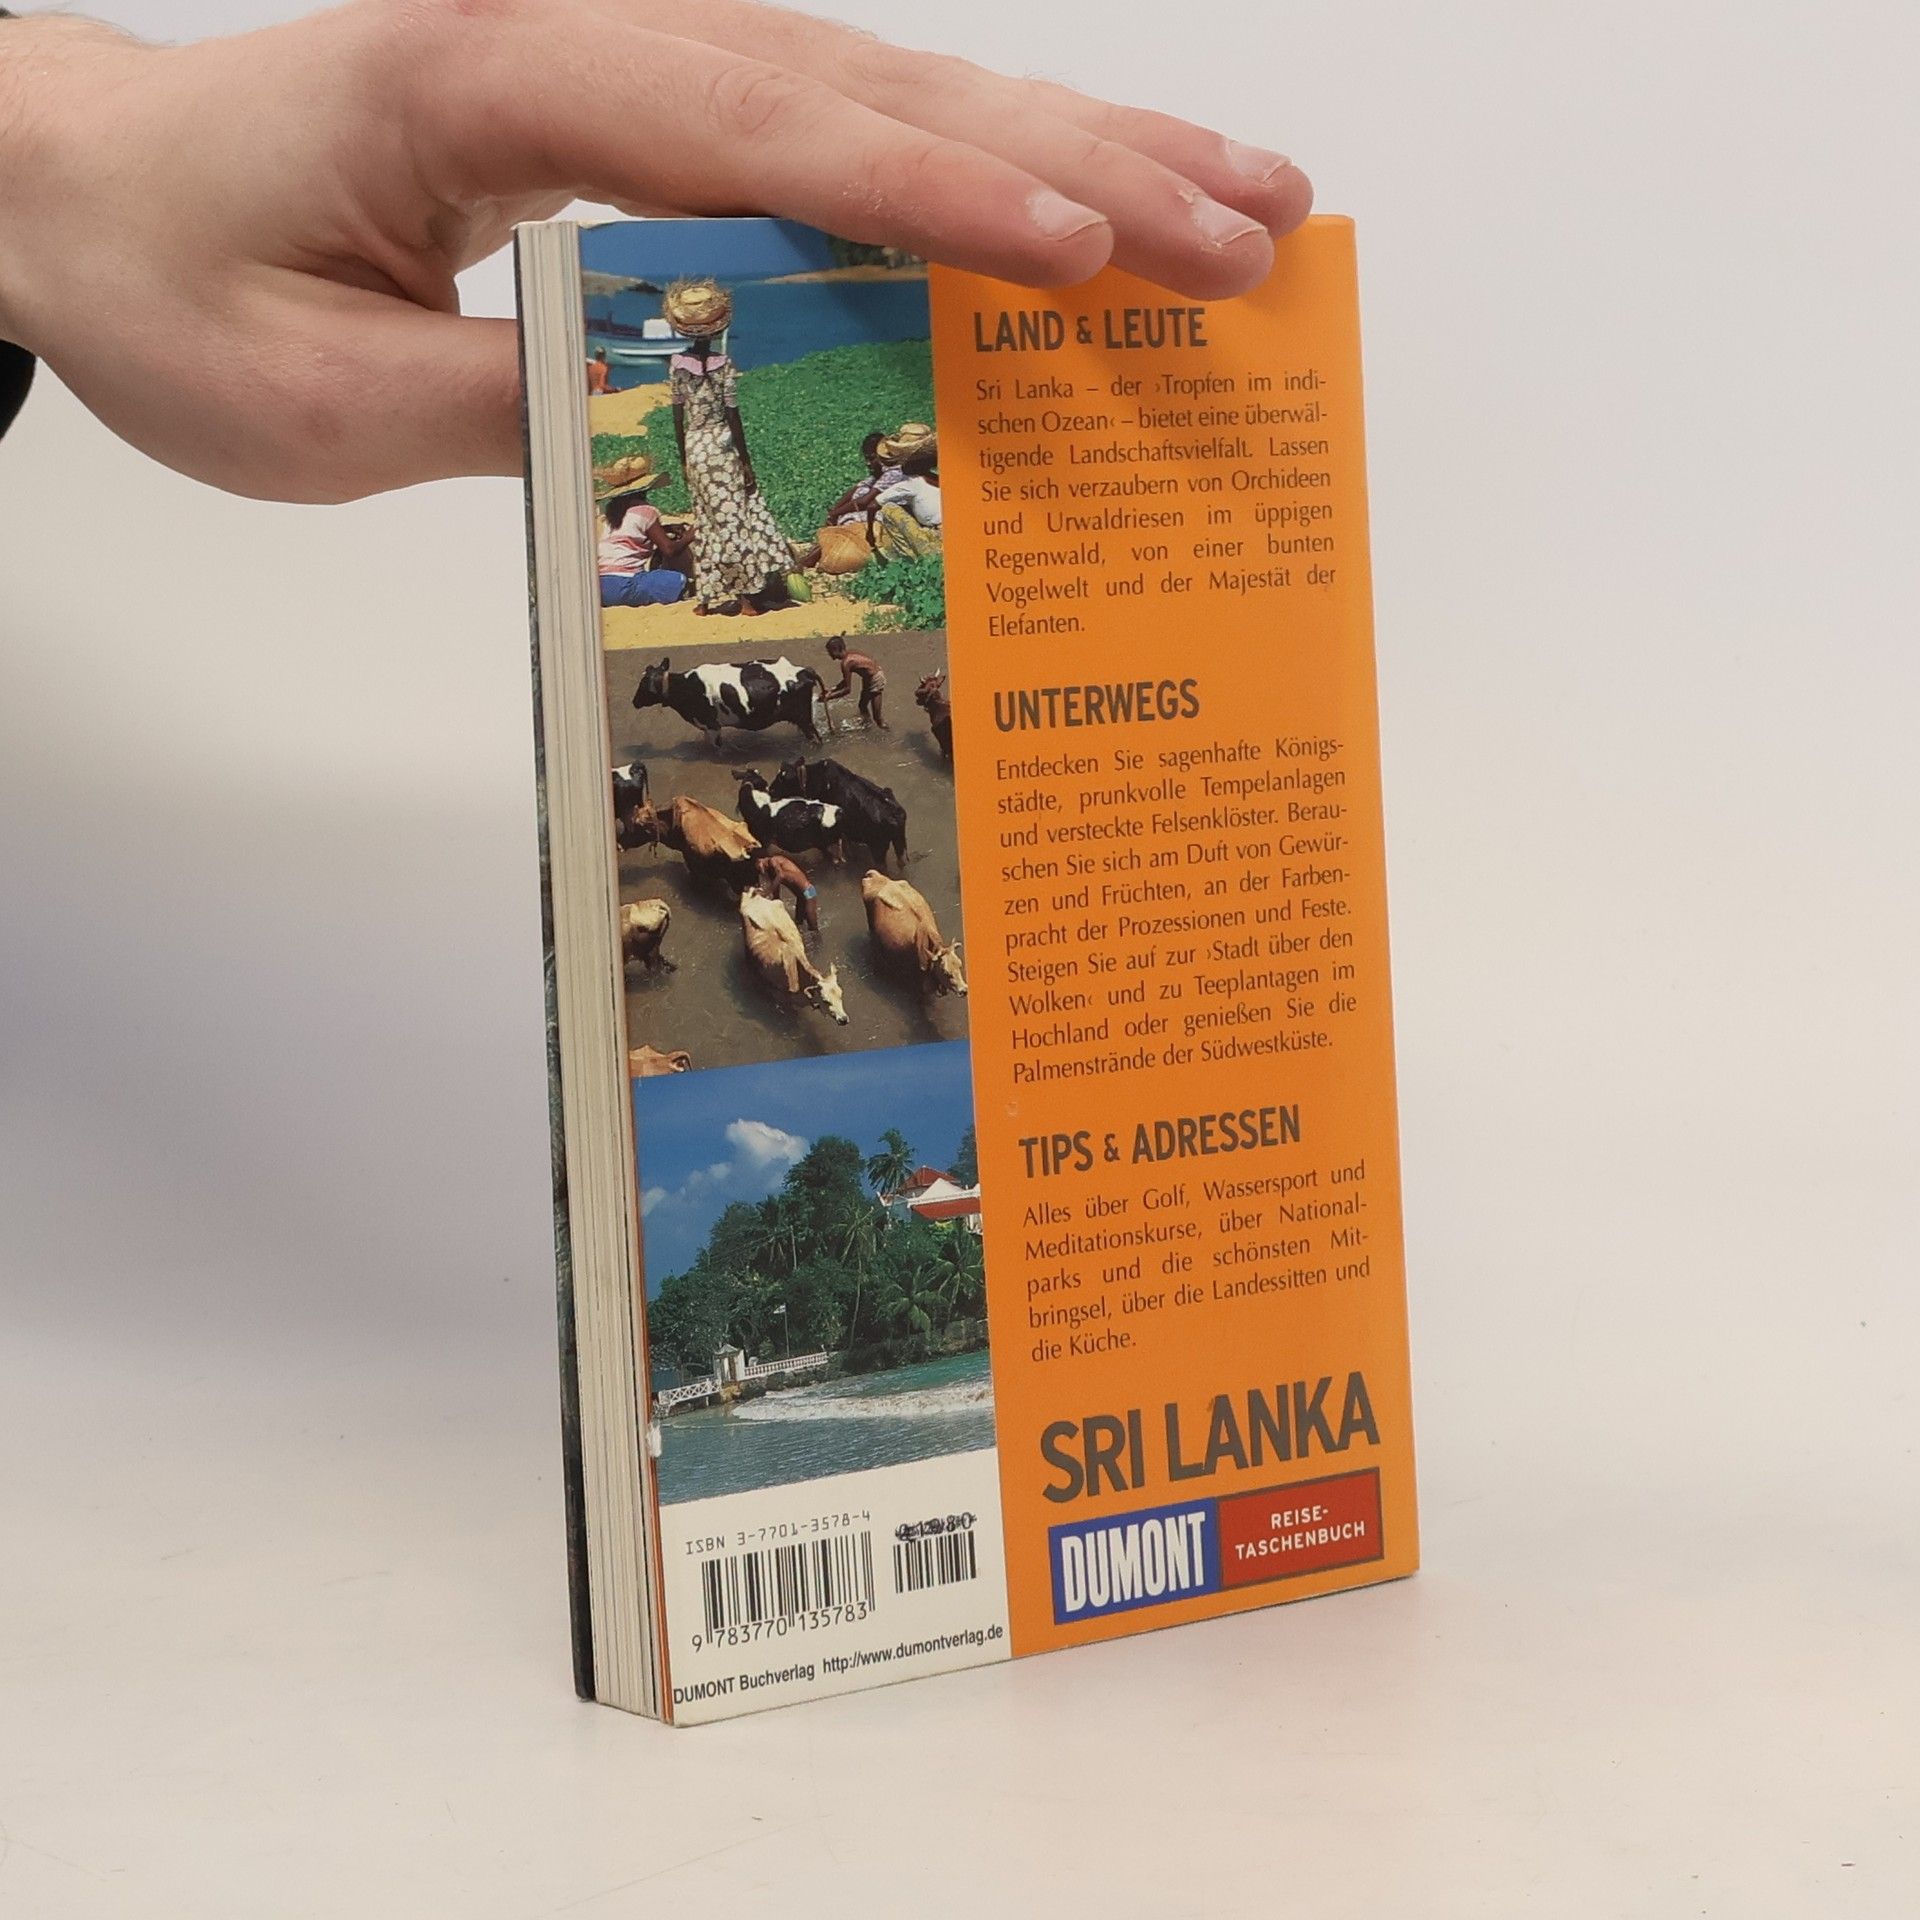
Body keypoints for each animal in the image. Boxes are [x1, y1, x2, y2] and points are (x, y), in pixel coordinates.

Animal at [632, 656, 823, 748]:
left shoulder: (712, 726)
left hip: (804, 719)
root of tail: (804, 671)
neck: (686, 685)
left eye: (642, 685)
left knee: (817, 739)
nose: (634, 702)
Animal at [771, 757, 908, 871]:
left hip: (878, 848)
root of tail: (896, 814)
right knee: (901, 862)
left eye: (782, 777)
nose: (770, 789)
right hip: (899, 843)